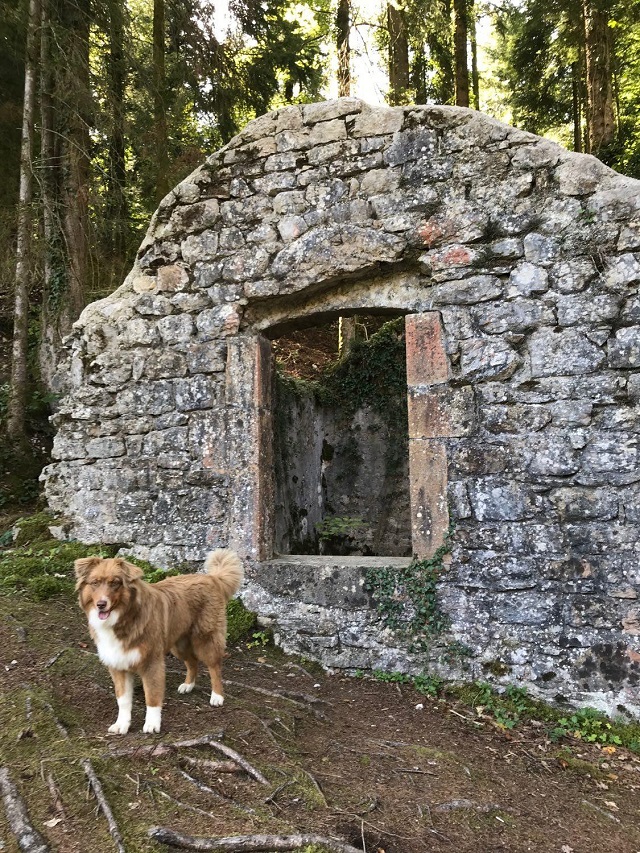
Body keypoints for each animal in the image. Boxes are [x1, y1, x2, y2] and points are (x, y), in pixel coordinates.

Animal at [75, 552, 244, 732]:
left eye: (115, 583)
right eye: (95, 583)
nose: (101, 604)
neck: (125, 618)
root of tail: (211, 578)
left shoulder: (152, 663)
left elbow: (152, 697)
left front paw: (152, 724)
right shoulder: (118, 665)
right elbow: (123, 700)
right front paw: (122, 724)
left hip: (205, 639)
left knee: (214, 667)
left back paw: (217, 696)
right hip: (179, 644)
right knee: (192, 662)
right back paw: (188, 685)